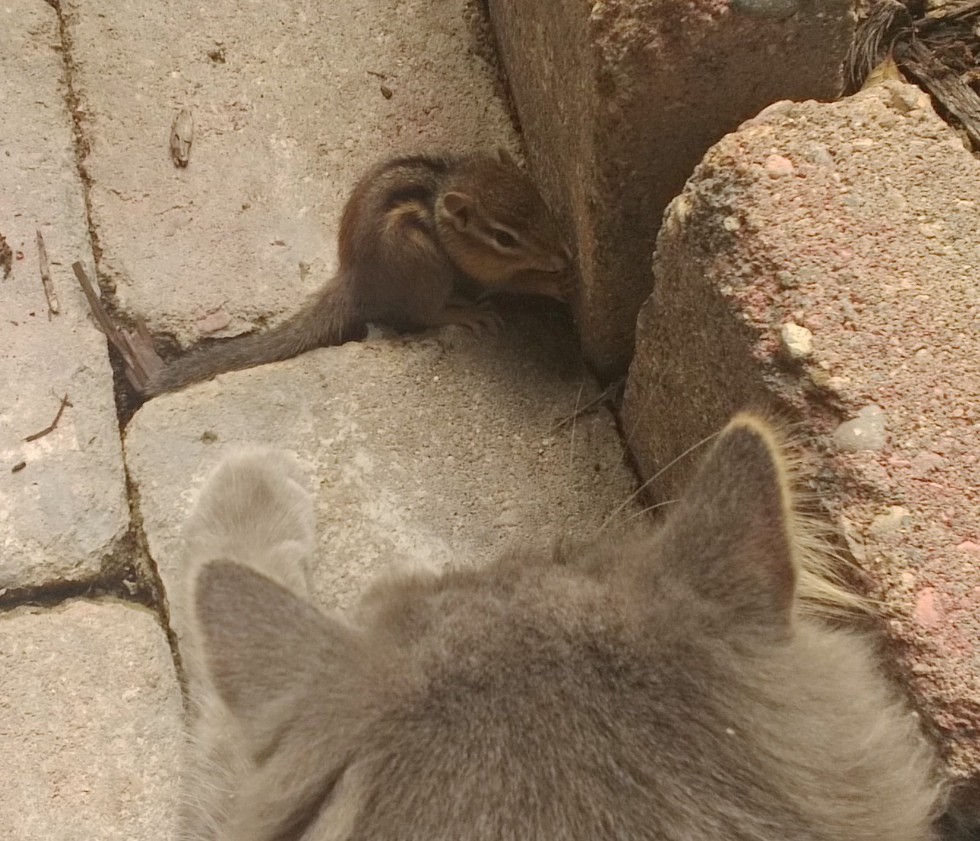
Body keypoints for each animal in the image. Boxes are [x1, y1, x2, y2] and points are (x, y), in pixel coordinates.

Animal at [142, 150, 571, 396]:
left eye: (540, 198)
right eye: (504, 238)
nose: (562, 254)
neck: (440, 209)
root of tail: (354, 282)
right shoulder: (472, 268)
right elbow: (508, 282)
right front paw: (552, 280)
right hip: (427, 269)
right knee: (425, 314)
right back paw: (466, 312)